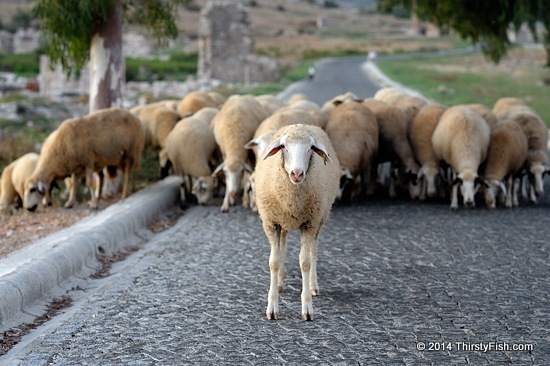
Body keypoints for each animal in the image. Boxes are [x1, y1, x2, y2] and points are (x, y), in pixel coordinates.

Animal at [254, 123, 340, 320]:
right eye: (283, 146)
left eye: (310, 148)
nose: (297, 173)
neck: (292, 200)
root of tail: (301, 124)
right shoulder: (272, 223)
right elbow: (274, 261)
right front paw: (272, 307)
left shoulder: (309, 223)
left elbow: (305, 262)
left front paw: (307, 308)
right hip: (284, 222)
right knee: (283, 248)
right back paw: (279, 283)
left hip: (320, 220)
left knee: (313, 251)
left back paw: (313, 286)